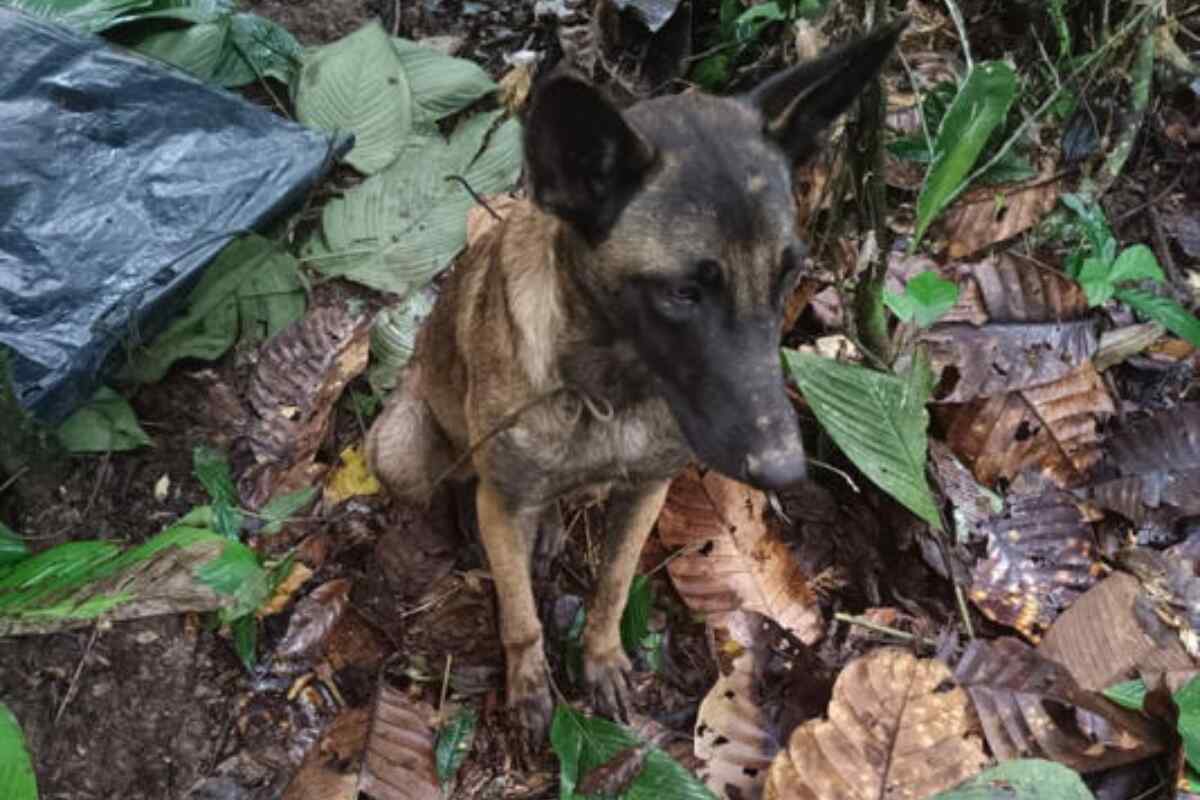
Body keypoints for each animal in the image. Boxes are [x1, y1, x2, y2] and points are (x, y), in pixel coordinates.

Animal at [369, 20, 902, 743]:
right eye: (682, 293)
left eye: (789, 272)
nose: (787, 470)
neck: (608, 392)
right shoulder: (505, 503)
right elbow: (520, 615)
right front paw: (530, 686)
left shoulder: (646, 491)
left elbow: (614, 587)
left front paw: (600, 661)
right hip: (399, 451)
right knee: (459, 482)